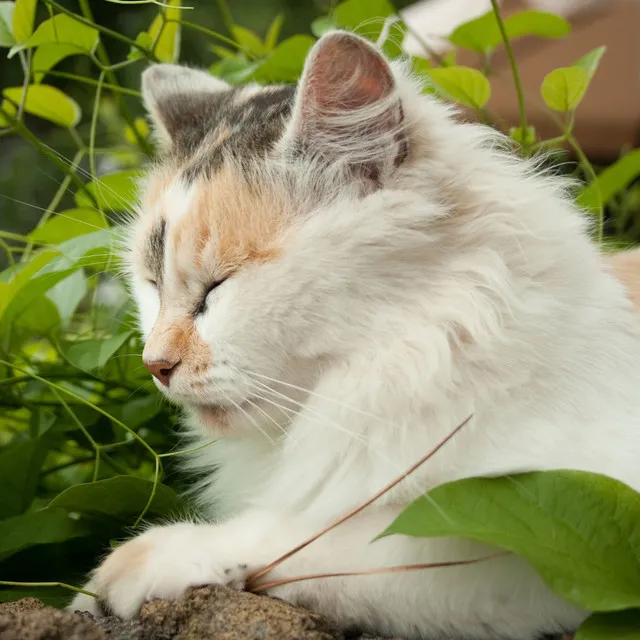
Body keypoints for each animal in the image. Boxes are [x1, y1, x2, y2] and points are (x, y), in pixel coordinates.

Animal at [70, 32, 640, 640]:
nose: (155, 364)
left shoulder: (552, 522)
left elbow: (331, 540)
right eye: (151, 285)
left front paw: (132, 567)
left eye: (217, 286)